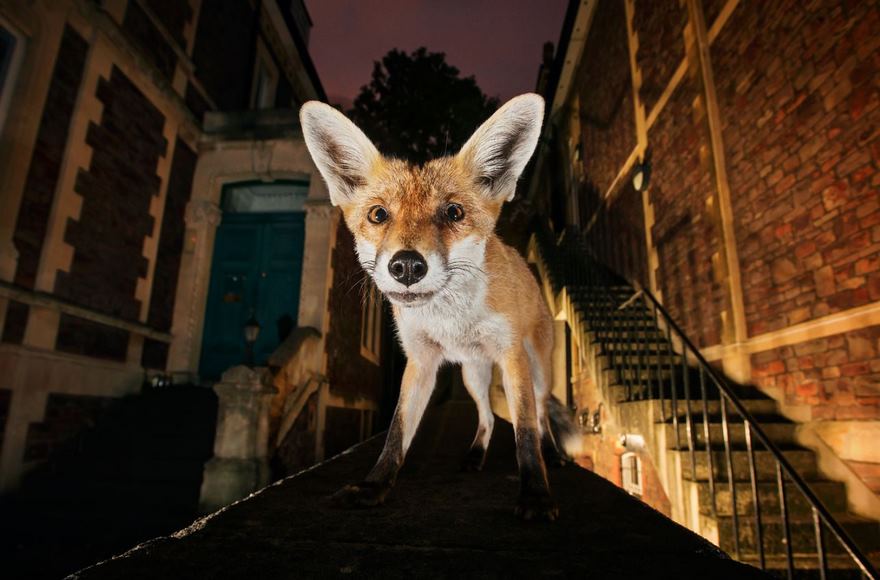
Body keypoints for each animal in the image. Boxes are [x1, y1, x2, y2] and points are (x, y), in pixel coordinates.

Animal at [299, 93, 580, 521]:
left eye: (453, 213)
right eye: (378, 214)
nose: (406, 266)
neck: (452, 318)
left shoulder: (511, 355)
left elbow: (526, 431)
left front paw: (535, 493)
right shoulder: (421, 361)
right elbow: (397, 432)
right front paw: (374, 485)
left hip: (536, 368)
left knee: (543, 411)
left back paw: (552, 453)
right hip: (473, 375)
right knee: (486, 415)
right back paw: (476, 455)